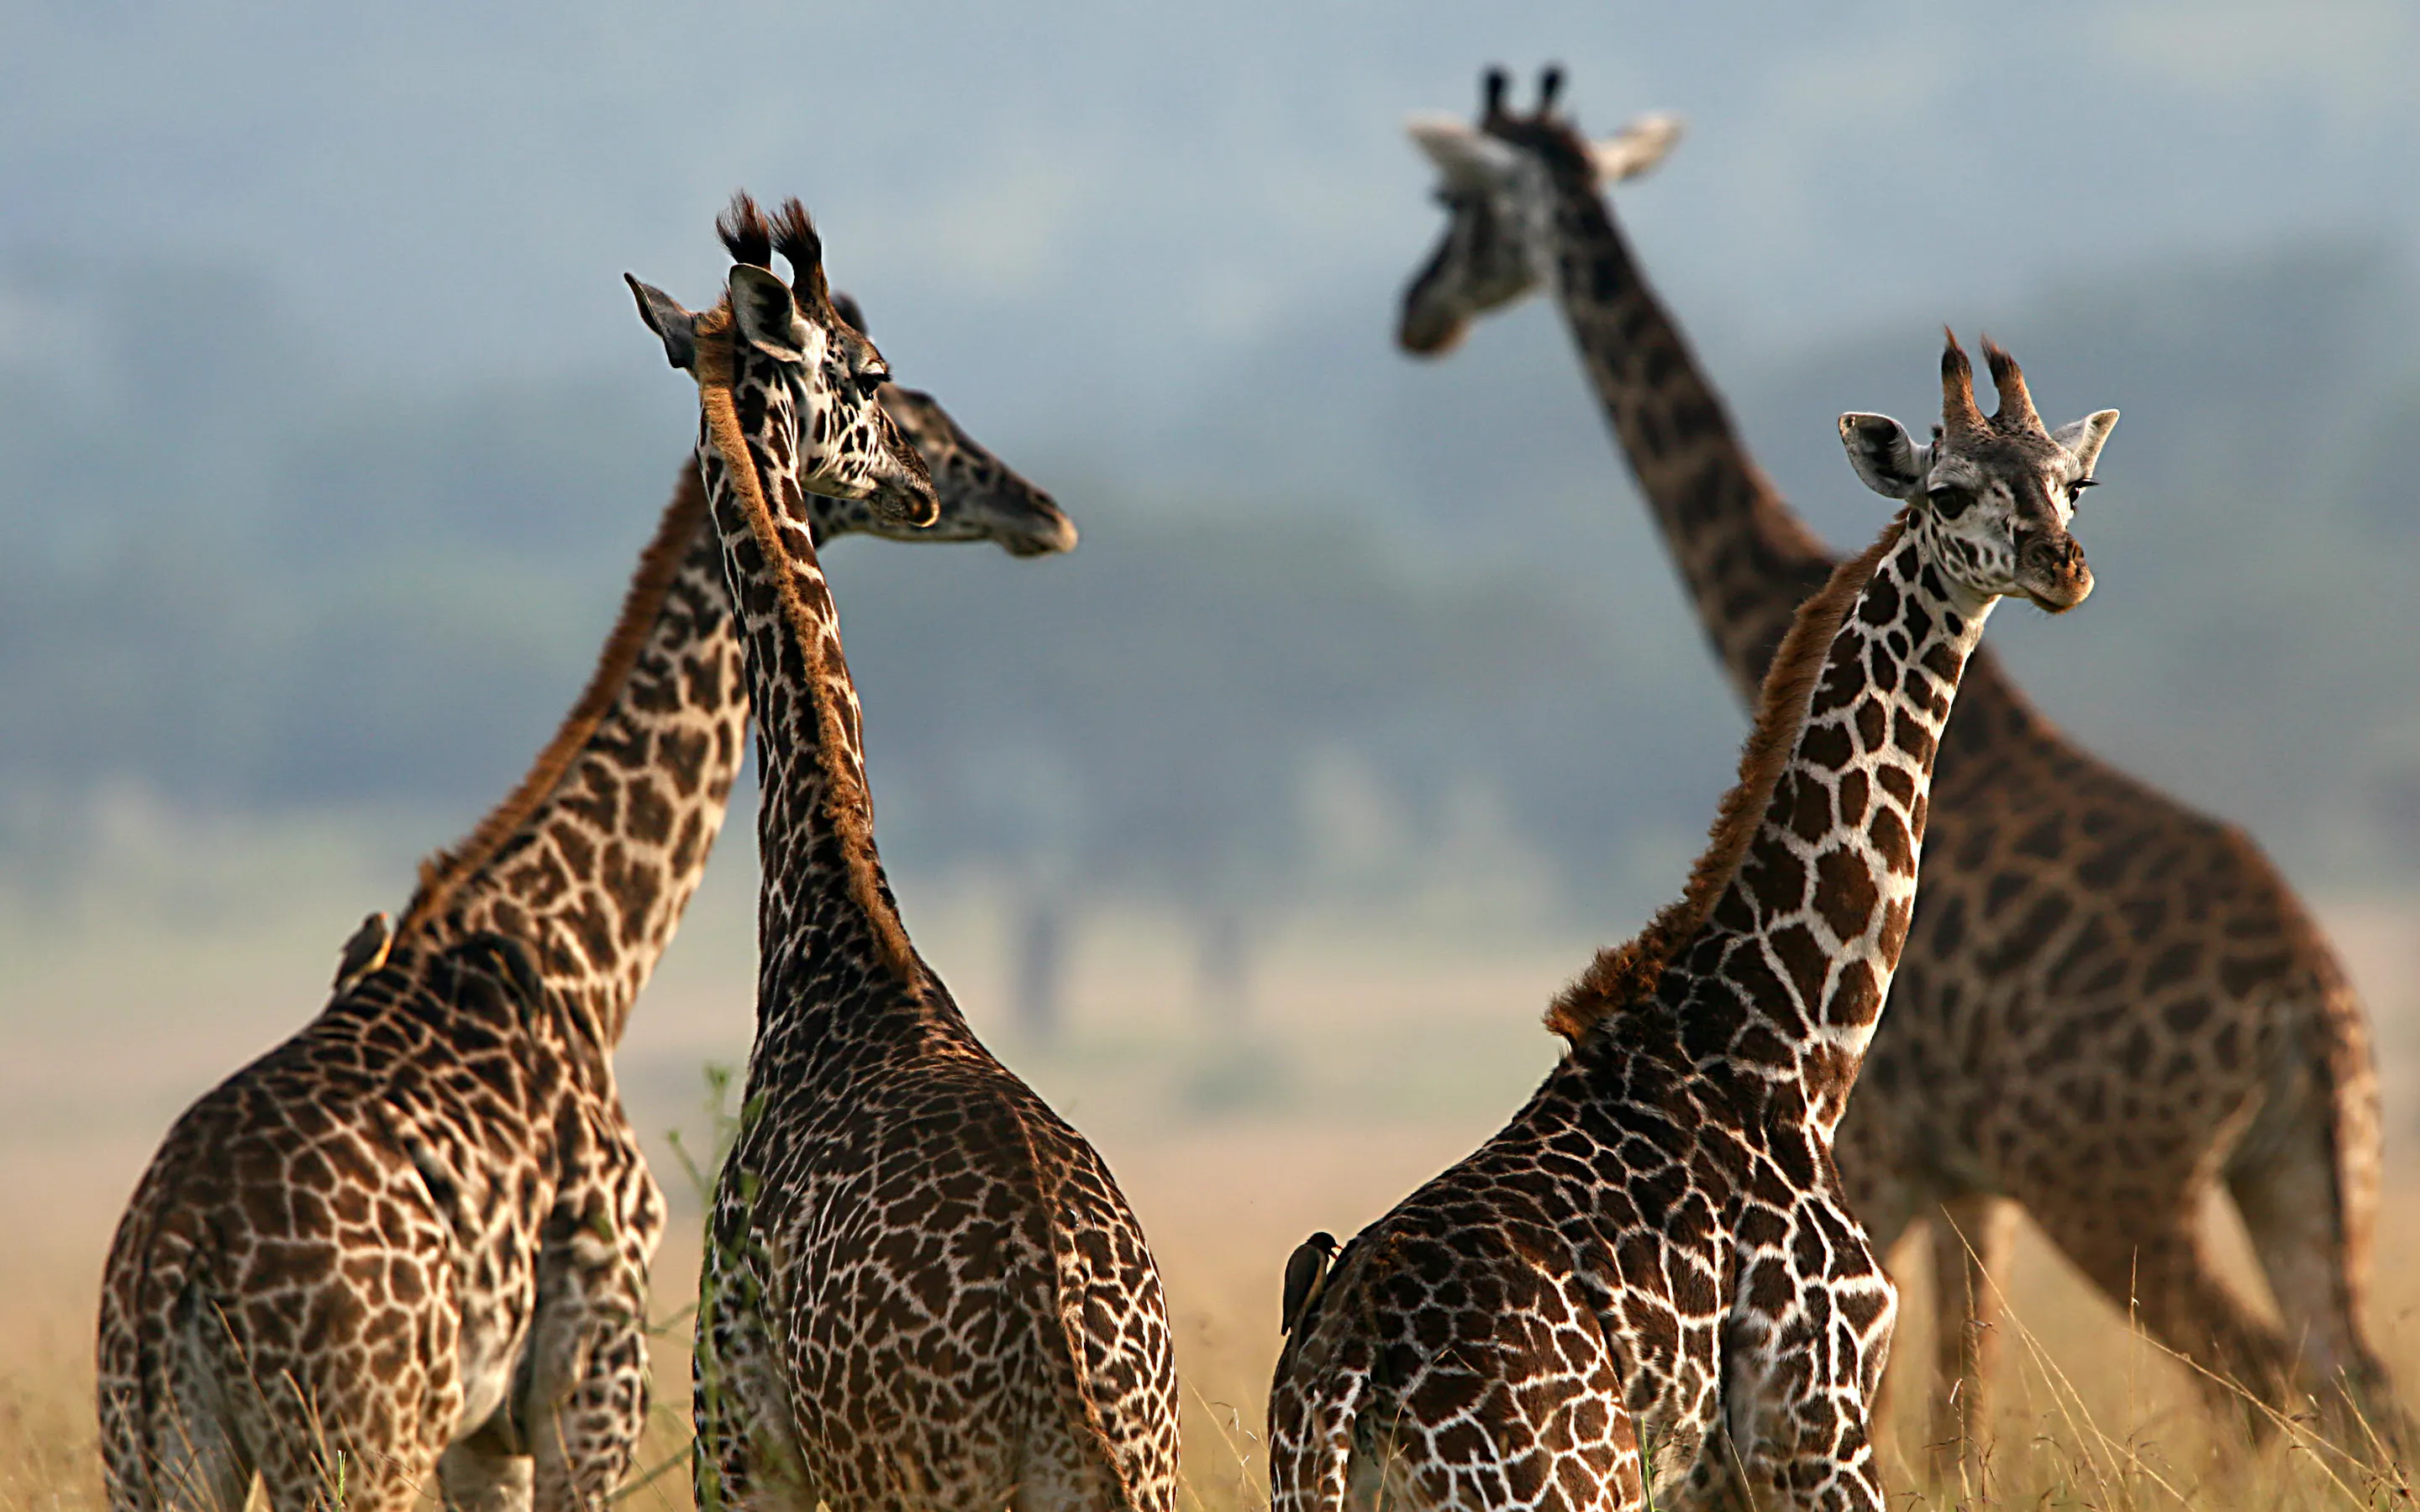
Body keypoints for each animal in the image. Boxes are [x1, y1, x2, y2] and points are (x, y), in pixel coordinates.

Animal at [96, 270, 1072, 1512]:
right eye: (900, 398)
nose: (1039, 511)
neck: (586, 947)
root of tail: (175, 1252)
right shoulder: (590, 1379)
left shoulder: (485, 1433)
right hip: (355, 1440)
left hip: (158, 1442)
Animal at [625, 195, 1180, 1512]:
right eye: (878, 378)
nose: (924, 491)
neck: (838, 933)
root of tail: (1064, 1375)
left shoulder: (738, 1436)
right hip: (1146, 1467)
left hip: (897, 1474)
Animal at [1270, 333, 2110, 1512]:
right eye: (1947, 491)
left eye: (2072, 484)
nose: (2059, 567)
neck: (1789, 1044)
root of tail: (1346, 1383)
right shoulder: (1818, 1417)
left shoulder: (1718, 1467)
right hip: (1570, 1482)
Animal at [1394, 65, 2412, 1477]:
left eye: (1458, 207)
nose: (1417, 314)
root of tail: (2310, 1005)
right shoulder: (1960, 1176)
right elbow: (1955, 1421)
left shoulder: (1887, 1151)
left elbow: (1914, 1423)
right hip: (2307, 1171)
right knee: (2358, 1393)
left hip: (2115, 1182)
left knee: (2258, 1384)